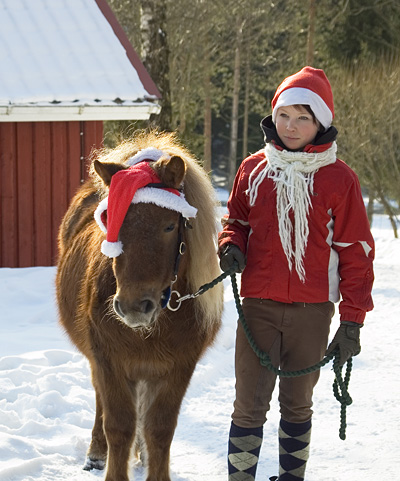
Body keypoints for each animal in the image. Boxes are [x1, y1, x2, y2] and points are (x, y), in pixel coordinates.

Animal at [55, 131, 223, 480]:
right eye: (111, 222)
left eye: (170, 225)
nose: (133, 306)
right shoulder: (110, 363)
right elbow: (118, 426)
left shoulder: (178, 368)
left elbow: (159, 428)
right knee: (101, 402)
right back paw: (97, 452)